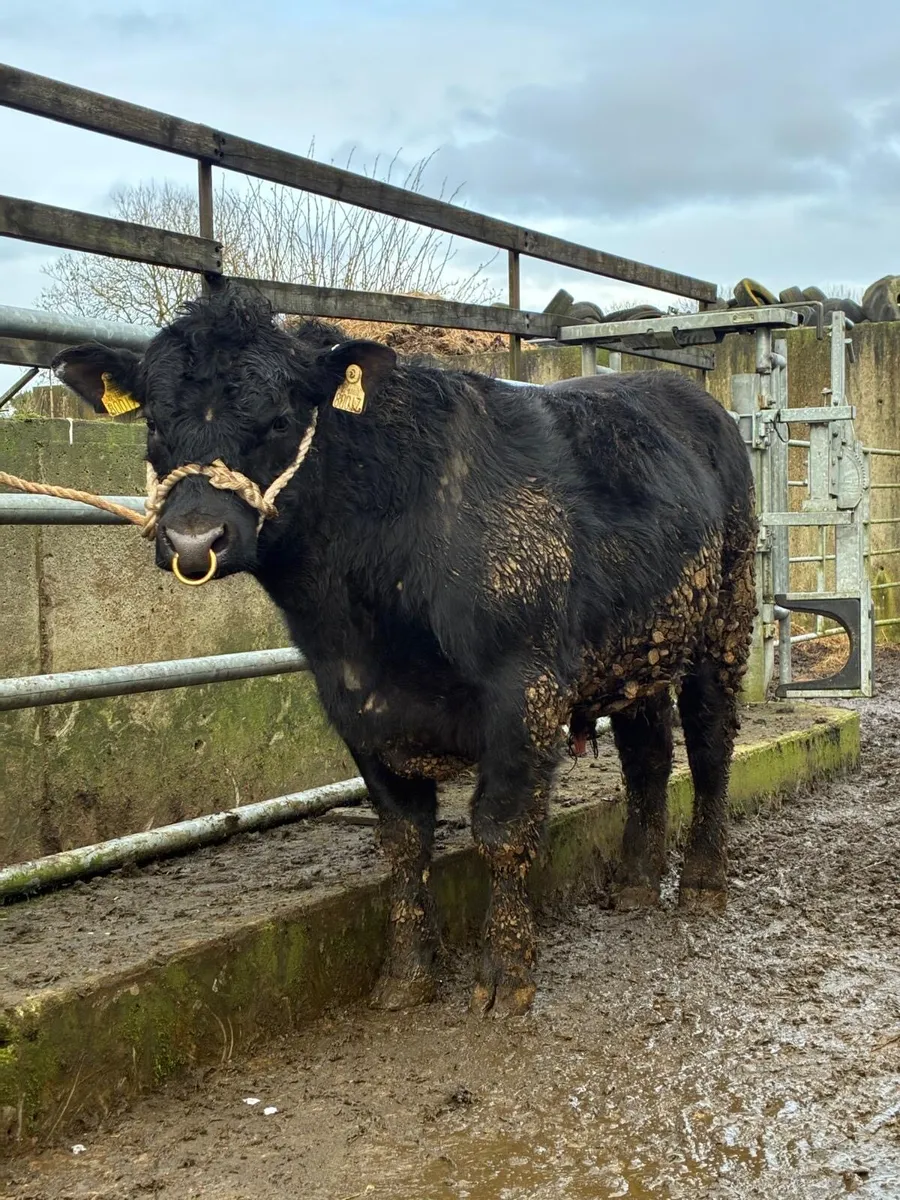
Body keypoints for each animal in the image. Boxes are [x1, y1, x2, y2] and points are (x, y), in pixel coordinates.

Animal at [53, 283, 757, 1018]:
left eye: (278, 419)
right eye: (155, 423)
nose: (194, 541)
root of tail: (685, 393)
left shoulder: (524, 691)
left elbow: (502, 830)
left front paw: (505, 976)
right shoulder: (355, 701)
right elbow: (401, 840)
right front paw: (405, 975)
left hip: (725, 620)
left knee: (709, 747)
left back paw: (702, 884)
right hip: (640, 647)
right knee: (648, 758)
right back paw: (636, 883)